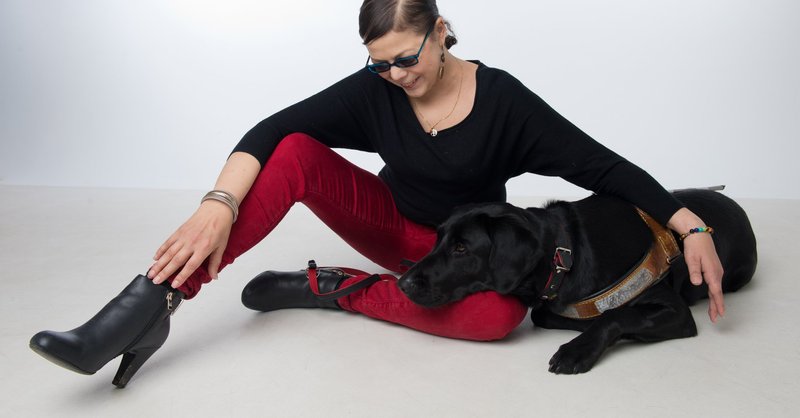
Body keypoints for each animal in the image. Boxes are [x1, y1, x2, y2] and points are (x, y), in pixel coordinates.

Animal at [400, 188, 756, 374]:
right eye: (438, 239)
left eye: (461, 248)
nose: (403, 283)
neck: (565, 252)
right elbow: (547, 314)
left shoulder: (676, 311)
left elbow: (615, 315)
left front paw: (578, 349)